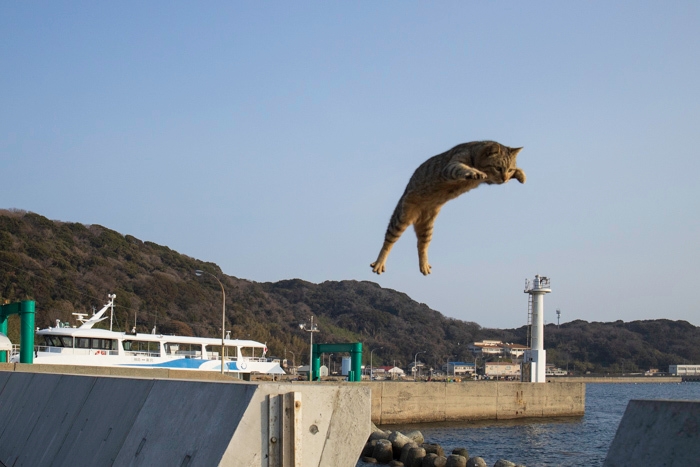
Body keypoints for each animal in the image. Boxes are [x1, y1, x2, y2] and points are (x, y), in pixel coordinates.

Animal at [372, 141, 524, 276]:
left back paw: (424, 265)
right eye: (498, 168)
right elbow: (462, 168)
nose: (504, 179)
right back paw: (379, 263)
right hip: (401, 218)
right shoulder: (452, 165)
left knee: (422, 246)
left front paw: (520, 174)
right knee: (388, 241)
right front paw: (474, 172)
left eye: (509, 169)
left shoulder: (491, 180)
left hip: (427, 228)